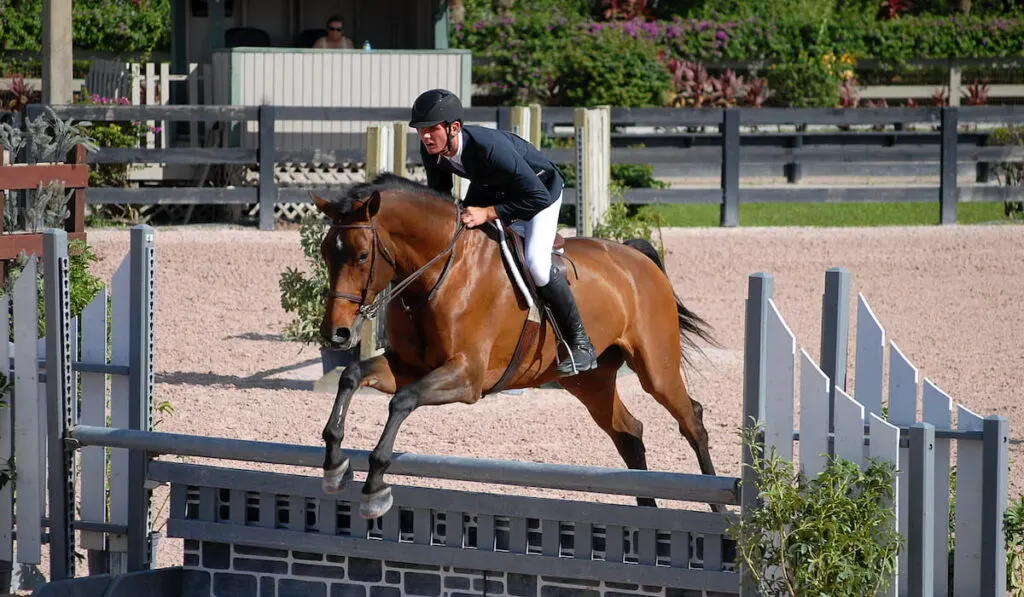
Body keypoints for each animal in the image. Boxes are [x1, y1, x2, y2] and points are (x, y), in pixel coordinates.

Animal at [311, 172, 720, 518]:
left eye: (362, 255)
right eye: (325, 252)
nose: (336, 333)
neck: (441, 270)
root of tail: (635, 257)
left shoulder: (468, 377)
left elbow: (402, 401)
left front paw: (375, 485)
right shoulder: (409, 366)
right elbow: (351, 375)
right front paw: (334, 464)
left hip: (655, 369)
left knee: (692, 420)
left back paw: (718, 507)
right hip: (589, 381)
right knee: (628, 432)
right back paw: (647, 510)